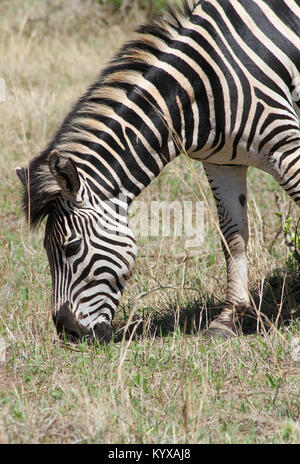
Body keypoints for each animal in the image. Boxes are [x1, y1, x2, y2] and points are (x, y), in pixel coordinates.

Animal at [15, 0, 300, 340]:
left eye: (71, 247)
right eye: (46, 248)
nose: (67, 332)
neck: (196, 89)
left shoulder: (286, 146)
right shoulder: (222, 163)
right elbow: (233, 238)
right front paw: (227, 320)